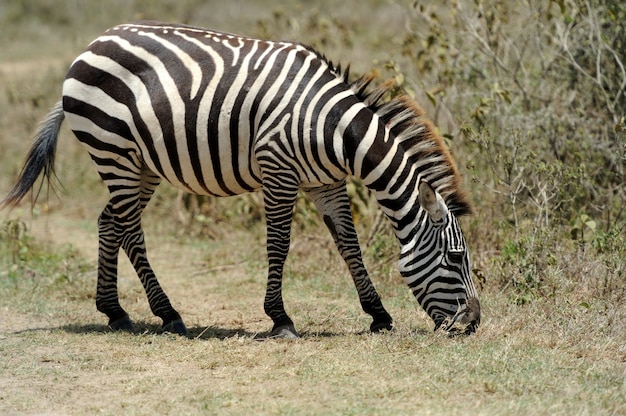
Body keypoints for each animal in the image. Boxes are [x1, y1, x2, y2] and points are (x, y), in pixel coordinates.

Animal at [1, 21, 478, 336]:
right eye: (456, 258)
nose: (474, 323)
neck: (335, 130)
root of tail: (93, 42)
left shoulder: (326, 183)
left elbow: (348, 244)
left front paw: (378, 314)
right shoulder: (278, 171)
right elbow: (279, 244)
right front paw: (280, 318)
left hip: (141, 164)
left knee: (110, 221)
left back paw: (115, 311)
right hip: (112, 149)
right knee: (131, 231)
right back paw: (168, 314)